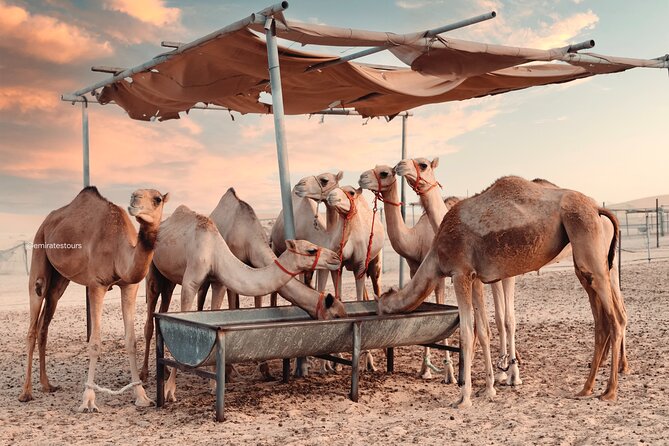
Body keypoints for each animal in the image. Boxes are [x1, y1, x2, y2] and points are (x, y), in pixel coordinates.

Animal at [19, 186, 168, 412]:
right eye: (133, 194)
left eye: (157, 199)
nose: (134, 200)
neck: (119, 250)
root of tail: (47, 221)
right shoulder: (96, 285)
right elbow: (95, 343)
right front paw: (88, 400)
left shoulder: (129, 286)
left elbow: (131, 341)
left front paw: (141, 395)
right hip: (39, 250)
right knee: (33, 322)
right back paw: (26, 393)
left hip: (59, 281)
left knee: (44, 325)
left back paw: (47, 385)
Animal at [140, 188, 347, 381]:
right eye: (312, 250)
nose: (335, 258)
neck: (249, 236)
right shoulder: (221, 276)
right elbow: (230, 306)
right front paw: (229, 370)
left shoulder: (234, 274)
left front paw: (263, 370)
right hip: (154, 271)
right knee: (152, 314)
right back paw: (145, 373)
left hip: (171, 278)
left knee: (170, 301)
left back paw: (169, 371)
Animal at [358, 165, 457, 382]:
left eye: (384, 173)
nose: (362, 178)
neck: (415, 240)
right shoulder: (414, 270)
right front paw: (425, 370)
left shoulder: (438, 277)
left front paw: (449, 374)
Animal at [378, 175, 628, 409]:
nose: (378, 311)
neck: (435, 253)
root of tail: (597, 208)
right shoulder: (475, 277)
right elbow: (483, 329)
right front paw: (488, 388)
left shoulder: (460, 273)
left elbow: (466, 333)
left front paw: (464, 398)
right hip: (586, 258)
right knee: (603, 320)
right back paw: (587, 388)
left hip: (588, 242)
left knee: (615, 319)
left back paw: (610, 391)